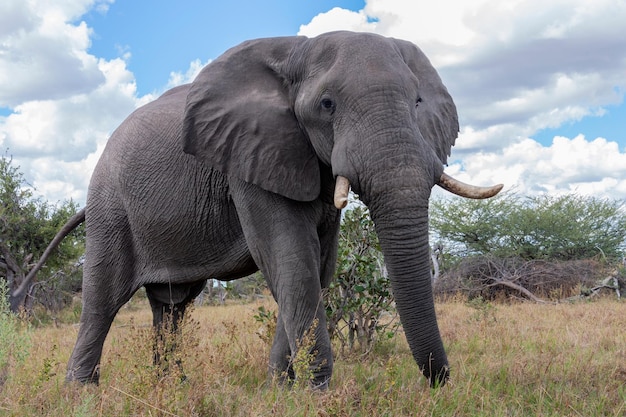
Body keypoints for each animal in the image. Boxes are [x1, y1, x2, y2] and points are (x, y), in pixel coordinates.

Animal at [22, 30, 502, 386]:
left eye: (418, 102)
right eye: (327, 105)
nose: (439, 383)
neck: (296, 53)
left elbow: (318, 267)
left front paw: (280, 388)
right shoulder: (249, 156)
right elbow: (291, 259)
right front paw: (315, 391)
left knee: (171, 306)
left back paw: (171, 386)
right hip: (110, 205)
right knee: (103, 298)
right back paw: (82, 393)